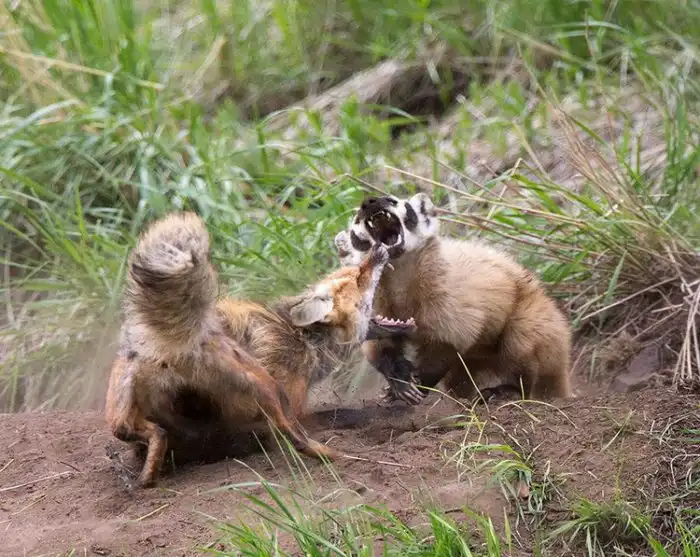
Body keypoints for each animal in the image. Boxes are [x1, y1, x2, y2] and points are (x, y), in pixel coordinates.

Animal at [105, 211, 415, 488]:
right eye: (359, 277)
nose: (378, 247)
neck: (302, 339)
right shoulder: (292, 403)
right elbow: (343, 414)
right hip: (265, 387)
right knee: (294, 438)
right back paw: (332, 456)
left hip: (122, 410)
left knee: (135, 432)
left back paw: (148, 472)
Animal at [333, 192, 573, 405]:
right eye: (356, 221)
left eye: (393, 200)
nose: (369, 202)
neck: (400, 279)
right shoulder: (370, 299)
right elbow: (378, 344)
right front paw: (399, 384)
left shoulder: (448, 294)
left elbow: (449, 339)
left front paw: (414, 386)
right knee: (459, 378)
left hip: (536, 319)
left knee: (523, 347)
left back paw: (504, 392)